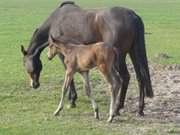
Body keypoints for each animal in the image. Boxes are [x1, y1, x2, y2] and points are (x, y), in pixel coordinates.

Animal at [20, 0, 153, 115]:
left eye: (27, 66)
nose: (34, 84)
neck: (54, 22)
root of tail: (134, 16)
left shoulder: (63, 56)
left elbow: (69, 77)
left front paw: (72, 100)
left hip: (119, 58)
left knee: (125, 77)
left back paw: (117, 108)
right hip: (133, 52)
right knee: (140, 77)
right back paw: (140, 109)